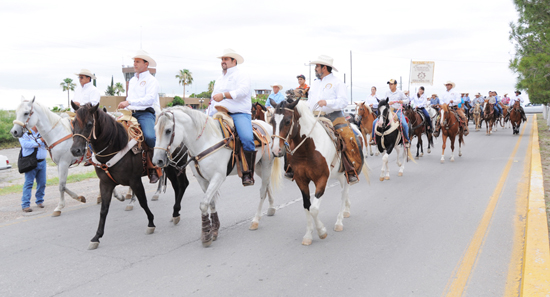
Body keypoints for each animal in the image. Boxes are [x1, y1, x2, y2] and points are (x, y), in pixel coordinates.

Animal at [70, 103, 191, 249]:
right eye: (73, 123)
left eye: (89, 124)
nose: (75, 150)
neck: (117, 144)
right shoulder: (105, 183)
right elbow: (104, 209)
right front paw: (96, 237)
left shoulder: (135, 180)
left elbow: (143, 202)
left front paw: (151, 223)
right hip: (171, 170)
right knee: (177, 187)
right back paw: (175, 213)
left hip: (177, 166)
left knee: (183, 185)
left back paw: (175, 212)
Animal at [151, 105, 282, 246]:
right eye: (155, 130)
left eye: (168, 130)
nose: (157, 161)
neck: (205, 142)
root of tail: (267, 126)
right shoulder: (202, 180)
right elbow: (211, 202)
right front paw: (213, 229)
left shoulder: (218, 177)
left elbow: (204, 204)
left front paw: (206, 236)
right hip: (257, 167)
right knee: (267, 184)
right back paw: (272, 208)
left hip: (266, 164)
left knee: (263, 190)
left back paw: (256, 220)